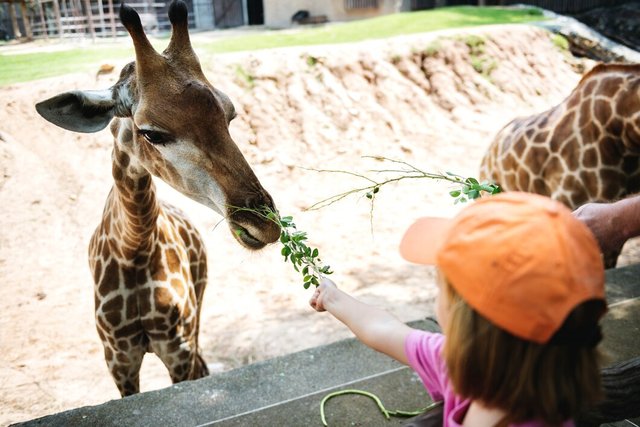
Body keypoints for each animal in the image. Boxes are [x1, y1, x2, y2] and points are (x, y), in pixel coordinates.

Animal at [31, 0, 278, 396]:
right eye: (151, 132)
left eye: (229, 115)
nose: (264, 224)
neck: (134, 247)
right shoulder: (118, 359)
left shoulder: (177, 348)